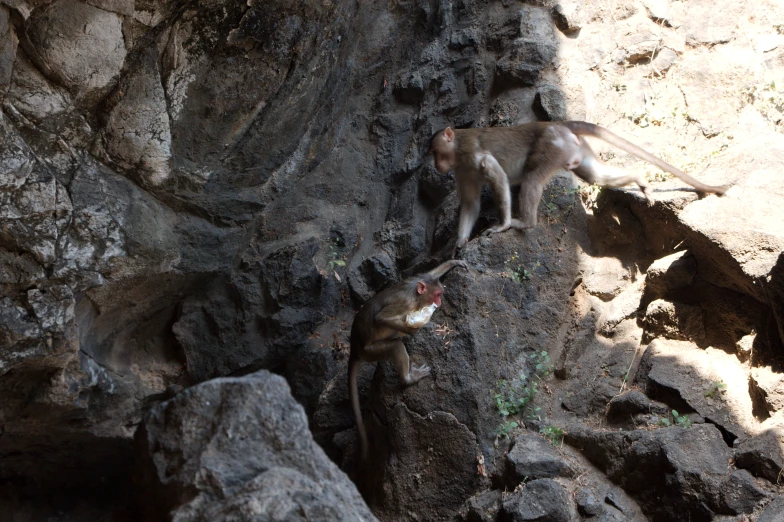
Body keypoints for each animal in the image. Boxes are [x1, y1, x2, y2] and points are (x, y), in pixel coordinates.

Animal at [348, 258, 466, 458]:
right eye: (437, 294)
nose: (440, 301)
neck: (415, 296)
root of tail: (355, 348)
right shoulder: (403, 303)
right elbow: (381, 318)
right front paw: (415, 328)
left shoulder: (416, 280)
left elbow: (429, 273)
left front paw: (454, 262)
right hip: (370, 352)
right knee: (395, 345)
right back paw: (408, 379)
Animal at [428, 121, 728, 247]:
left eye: (436, 152)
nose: (436, 165)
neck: (457, 152)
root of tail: (557, 123)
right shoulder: (462, 172)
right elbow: (470, 202)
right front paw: (460, 241)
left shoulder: (470, 154)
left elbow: (497, 175)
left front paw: (502, 225)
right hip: (575, 150)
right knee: (596, 176)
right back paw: (638, 179)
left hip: (552, 147)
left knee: (532, 178)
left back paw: (526, 223)